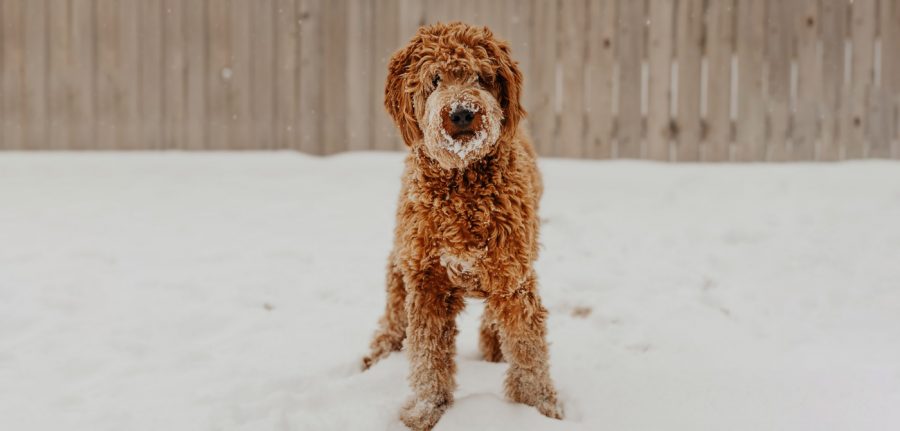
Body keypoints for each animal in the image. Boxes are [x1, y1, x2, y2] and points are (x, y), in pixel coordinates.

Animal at [360, 22, 560, 428]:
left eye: (481, 77)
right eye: (435, 79)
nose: (463, 112)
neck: (462, 183)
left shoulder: (512, 278)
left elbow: (528, 348)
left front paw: (539, 407)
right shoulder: (427, 283)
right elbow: (427, 357)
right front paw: (426, 410)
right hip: (402, 258)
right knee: (394, 308)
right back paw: (379, 351)